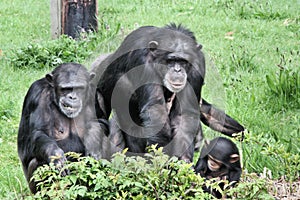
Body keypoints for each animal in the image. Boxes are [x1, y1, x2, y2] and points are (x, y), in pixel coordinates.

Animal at [17, 63, 106, 194]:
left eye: (79, 88)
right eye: (65, 89)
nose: (72, 97)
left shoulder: (94, 93)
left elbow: (100, 121)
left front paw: (92, 142)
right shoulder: (37, 94)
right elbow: (38, 132)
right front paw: (56, 155)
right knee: (39, 161)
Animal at [91, 23, 244, 162]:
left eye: (183, 61)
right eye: (171, 60)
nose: (177, 70)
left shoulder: (198, 64)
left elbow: (185, 114)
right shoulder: (142, 61)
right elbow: (155, 109)